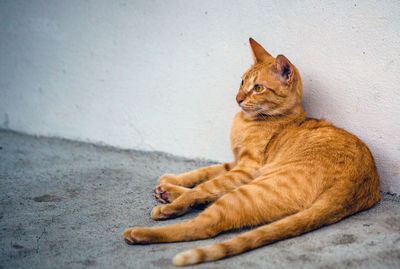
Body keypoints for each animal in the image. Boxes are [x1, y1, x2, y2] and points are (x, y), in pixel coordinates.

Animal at [123, 38, 380, 266]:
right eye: (242, 81)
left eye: (258, 88)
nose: (237, 98)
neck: (248, 121)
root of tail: (355, 188)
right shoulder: (235, 163)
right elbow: (205, 172)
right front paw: (174, 180)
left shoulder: (246, 168)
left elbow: (204, 186)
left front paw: (176, 199)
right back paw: (168, 193)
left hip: (251, 189)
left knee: (205, 225)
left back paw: (147, 226)